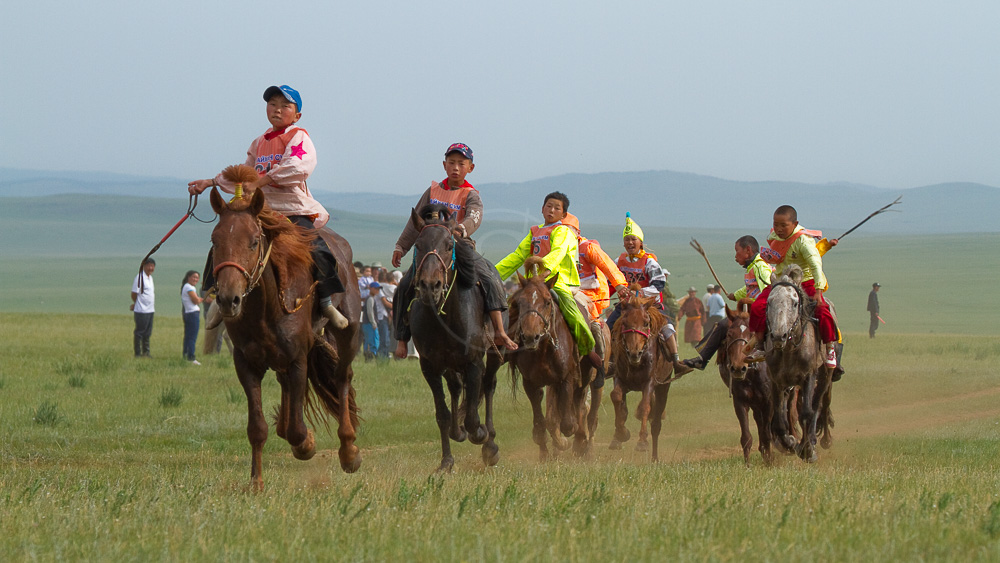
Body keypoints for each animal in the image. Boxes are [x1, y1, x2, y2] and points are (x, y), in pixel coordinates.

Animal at [209, 164, 362, 490]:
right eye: (215, 241)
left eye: (254, 240)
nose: (229, 299)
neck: (265, 309)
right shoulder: (246, 363)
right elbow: (257, 427)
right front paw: (256, 482)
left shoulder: (298, 359)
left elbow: (296, 429)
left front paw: (306, 444)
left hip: (348, 333)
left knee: (342, 378)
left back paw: (349, 451)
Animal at [404, 205, 504, 474]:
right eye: (418, 245)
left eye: (450, 245)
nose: (430, 286)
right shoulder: (429, 366)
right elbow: (443, 414)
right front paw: (446, 461)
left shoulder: (473, 362)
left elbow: (472, 417)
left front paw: (480, 434)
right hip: (449, 365)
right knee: (457, 388)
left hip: (494, 354)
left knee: (489, 386)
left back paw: (490, 442)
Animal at [504, 258, 596, 460]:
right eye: (520, 302)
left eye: (547, 302)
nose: (531, 337)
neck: (543, 350)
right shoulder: (531, 383)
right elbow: (541, 425)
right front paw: (545, 455)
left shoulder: (567, 378)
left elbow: (568, 423)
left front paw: (565, 442)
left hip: (584, 374)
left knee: (580, 405)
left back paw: (580, 442)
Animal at [604, 294, 676, 460]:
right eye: (625, 322)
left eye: (646, 323)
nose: (634, 353)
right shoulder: (620, 378)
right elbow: (617, 398)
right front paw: (620, 434)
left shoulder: (649, 383)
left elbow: (645, 407)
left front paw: (642, 442)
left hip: (663, 386)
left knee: (656, 424)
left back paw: (655, 458)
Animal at [760, 264, 832, 462]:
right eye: (769, 302)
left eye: (794, 303)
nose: (779, 336)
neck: (790, 350)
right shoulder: (776, 381)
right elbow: (779, 421)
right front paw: (790, 443)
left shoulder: (808, 376)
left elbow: (807, 412)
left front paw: (807, 450)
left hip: (825, 375)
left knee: (818, 405)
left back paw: (815, 440)